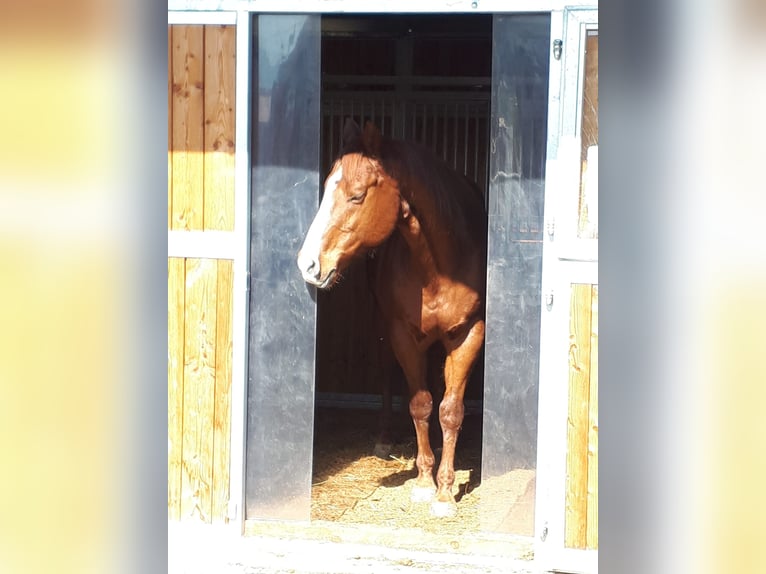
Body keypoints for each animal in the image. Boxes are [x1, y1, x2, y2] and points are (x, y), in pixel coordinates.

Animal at [296, 119, 488, 520]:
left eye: (357, 196)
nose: (308, 264)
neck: (439, 268)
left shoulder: (467, 334)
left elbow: (450, 410)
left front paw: (445, 493)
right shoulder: (402, 333)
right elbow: (420, 404)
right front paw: (424, 482)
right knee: (387, 374)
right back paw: (384, 438)